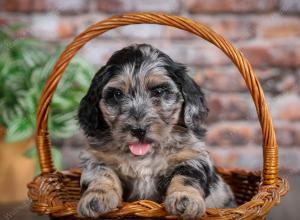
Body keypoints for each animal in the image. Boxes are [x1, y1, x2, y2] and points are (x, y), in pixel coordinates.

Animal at [77, 43, 237, 219]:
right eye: (117, 94)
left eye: (159, 91)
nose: (139, 130)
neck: (143, 156)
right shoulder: (96, 158)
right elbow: (100, 175)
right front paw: (96, 197)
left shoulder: (192, 156)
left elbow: (186, 177)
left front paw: (185, 199)